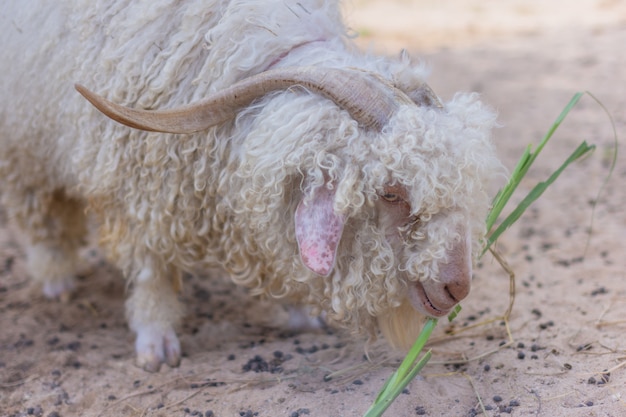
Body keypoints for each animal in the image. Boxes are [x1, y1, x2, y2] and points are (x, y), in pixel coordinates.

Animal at [0, 0, 498, 370]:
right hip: (24, 144)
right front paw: (156, 341)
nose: (457, 288)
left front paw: (301, 314)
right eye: (390, 192)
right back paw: (57, 277)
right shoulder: (136, 182)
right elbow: (149, 266)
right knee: (38, 212)